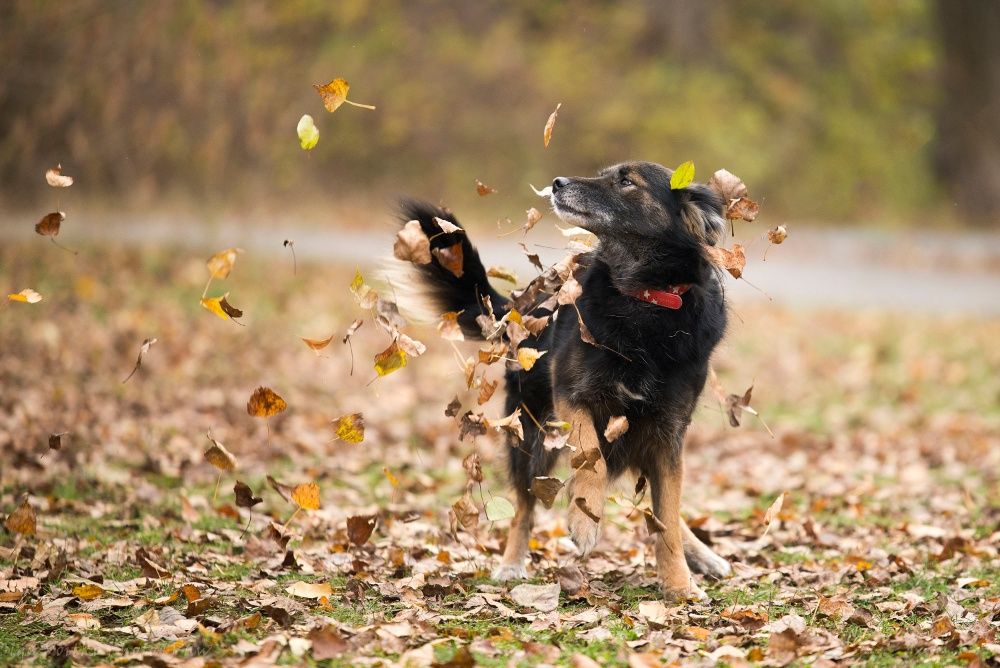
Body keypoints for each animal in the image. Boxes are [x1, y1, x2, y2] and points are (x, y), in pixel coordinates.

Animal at [398, 160, 736, 600]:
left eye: (626, 181)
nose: (557, 183)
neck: (644, 300)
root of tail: (523, 308)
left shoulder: (668, 434)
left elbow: (667, 517)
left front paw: (678, 583)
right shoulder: (572, 396)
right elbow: (590, 456)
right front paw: (585, 520)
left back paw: (703, 557)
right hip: (530, 438)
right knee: (523, 508)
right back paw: (511, 563)